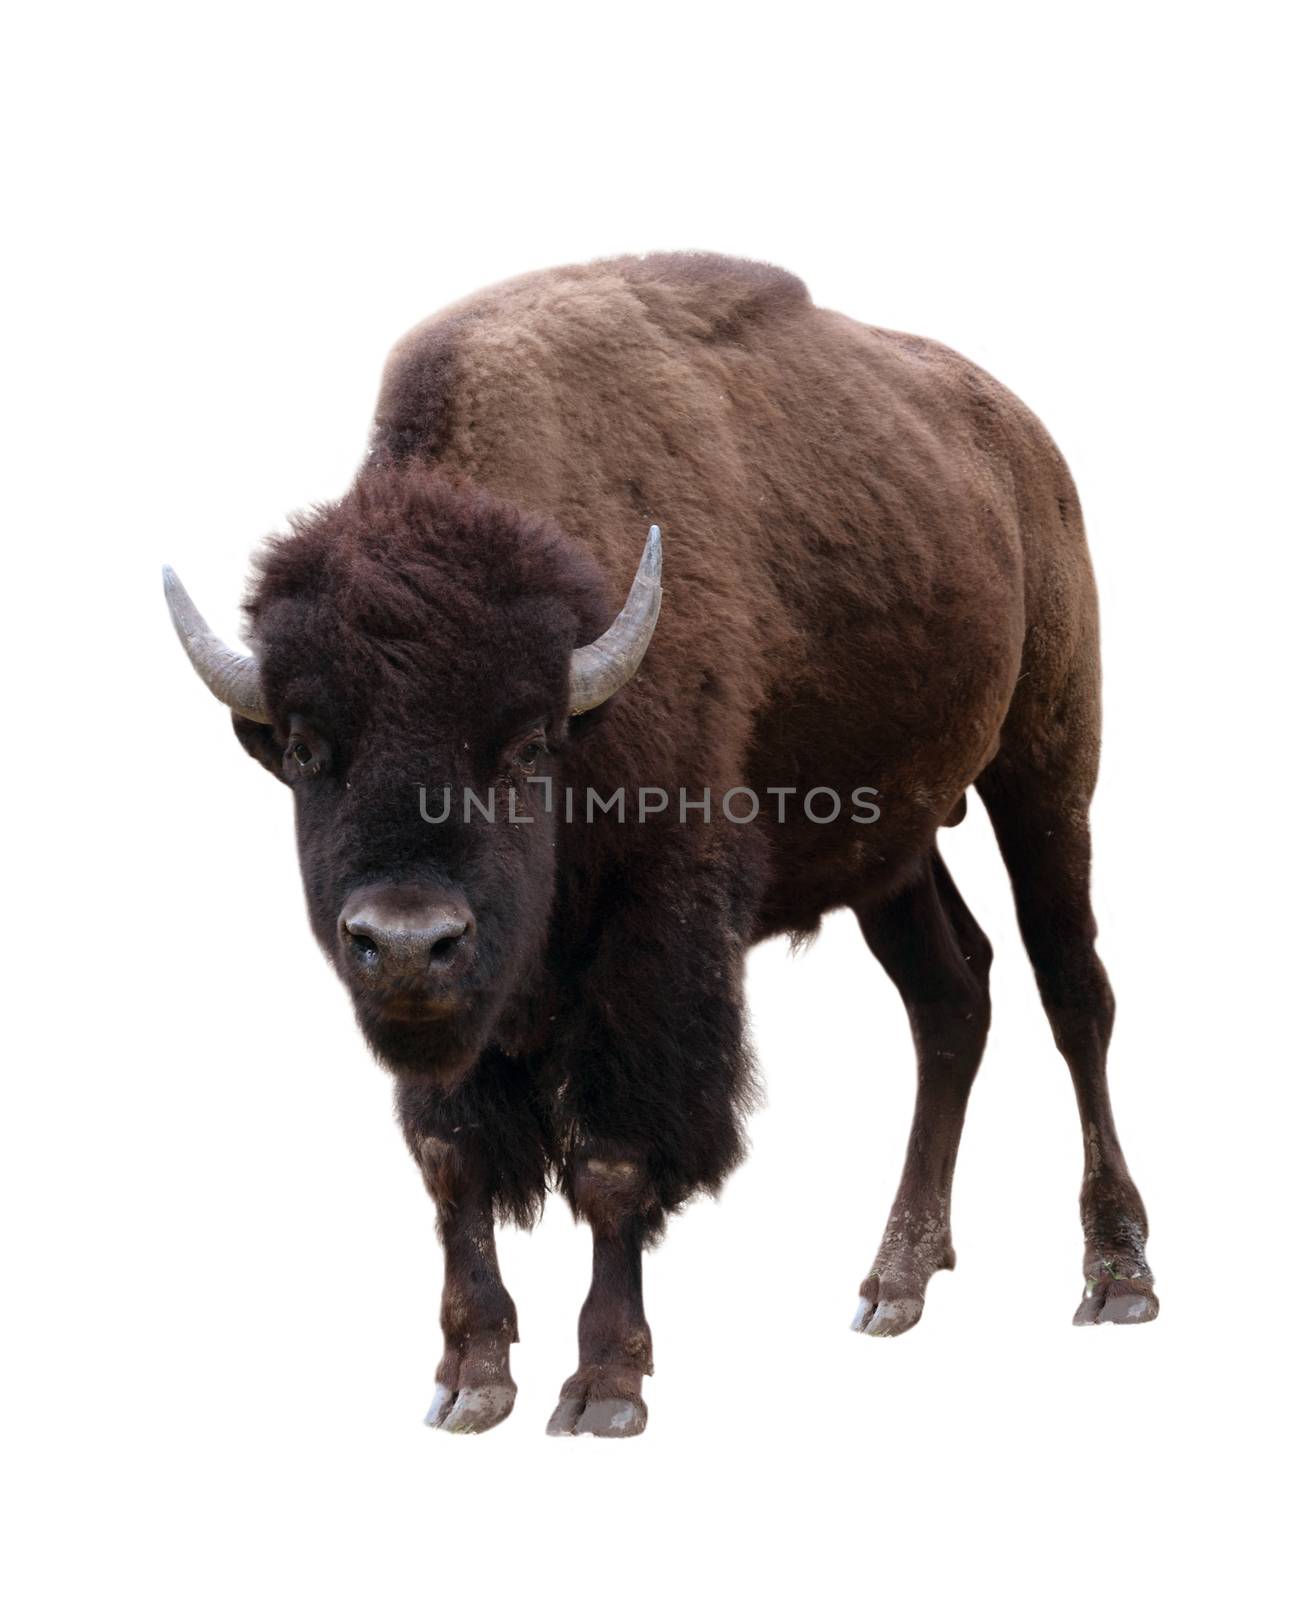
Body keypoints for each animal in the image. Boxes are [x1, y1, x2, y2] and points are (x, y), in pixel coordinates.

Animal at [161, 249, 1157, 1440]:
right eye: (310, 747)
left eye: (527, 742)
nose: (404, 940)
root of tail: (1025, 444)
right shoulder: (462, 1016)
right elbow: (453, 1158)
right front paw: (470, 1379)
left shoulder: (652, 939)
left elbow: (613, 1158)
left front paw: (603, 1388)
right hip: (894, 845)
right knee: (950, 999)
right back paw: (894, 1282)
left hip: (1046, 766)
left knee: (1073, 991)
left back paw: (1116, 1277)